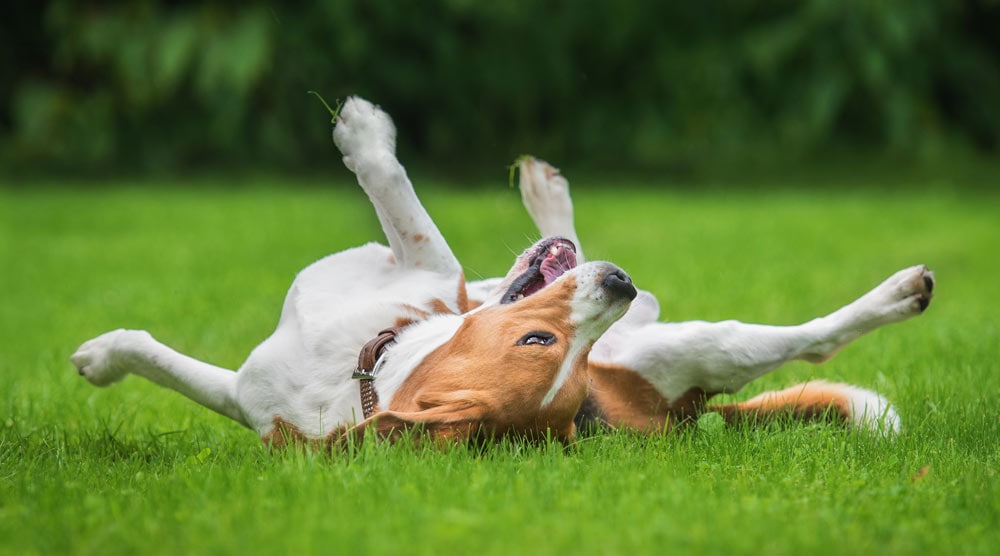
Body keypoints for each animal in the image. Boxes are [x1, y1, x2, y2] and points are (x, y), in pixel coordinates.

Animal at [70, 94, 928, 444]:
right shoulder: (247, 392)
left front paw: (362, 134)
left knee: (810, 338)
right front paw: (100, 358)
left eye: (567, 361)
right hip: (649, 321)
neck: (361, 369)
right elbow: (159, 359)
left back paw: (897, 294)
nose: (611, 288)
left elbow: (395, 191)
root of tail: (687, 417)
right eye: (539, 347)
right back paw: (553, 207)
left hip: (700, 346)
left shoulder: (429, 263)